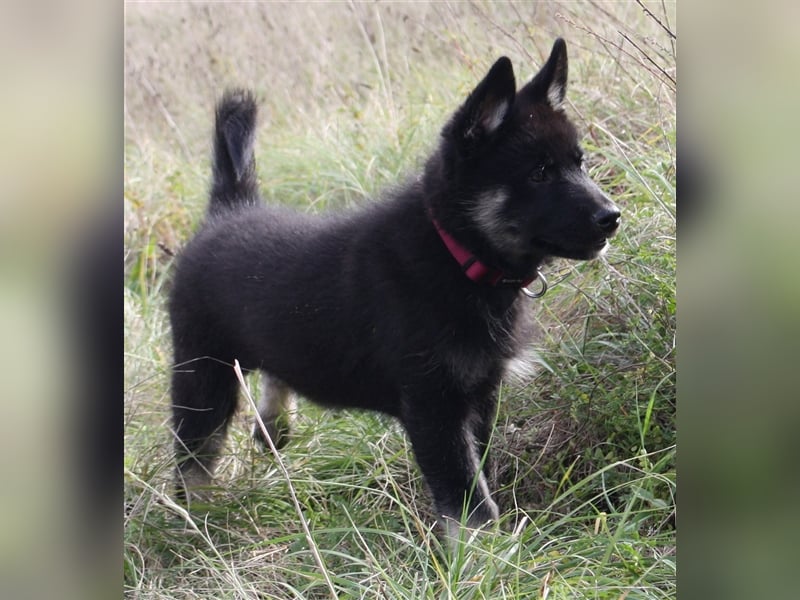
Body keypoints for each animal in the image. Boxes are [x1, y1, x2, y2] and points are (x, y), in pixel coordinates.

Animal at [169, 37, 620, 536]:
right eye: (539, 173)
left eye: (580, 163)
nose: (612, 217)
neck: (456, 253)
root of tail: (228, 210)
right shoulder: (433, 406)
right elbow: (467, 498)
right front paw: (484, 552)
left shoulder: (480, 396)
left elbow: (480, 471)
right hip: (202, 372)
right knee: (194, 454)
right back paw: (196, 516)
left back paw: (272, 425)